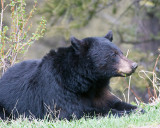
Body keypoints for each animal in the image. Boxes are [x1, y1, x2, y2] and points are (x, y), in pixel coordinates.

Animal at [0, 31, 139, 120]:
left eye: (121, 52)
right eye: (113, 54)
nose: (134, 65)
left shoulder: (99, 91)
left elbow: (113, 102)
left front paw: (135, 109)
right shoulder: (59, 90)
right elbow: (74, 111)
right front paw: (121, 113)